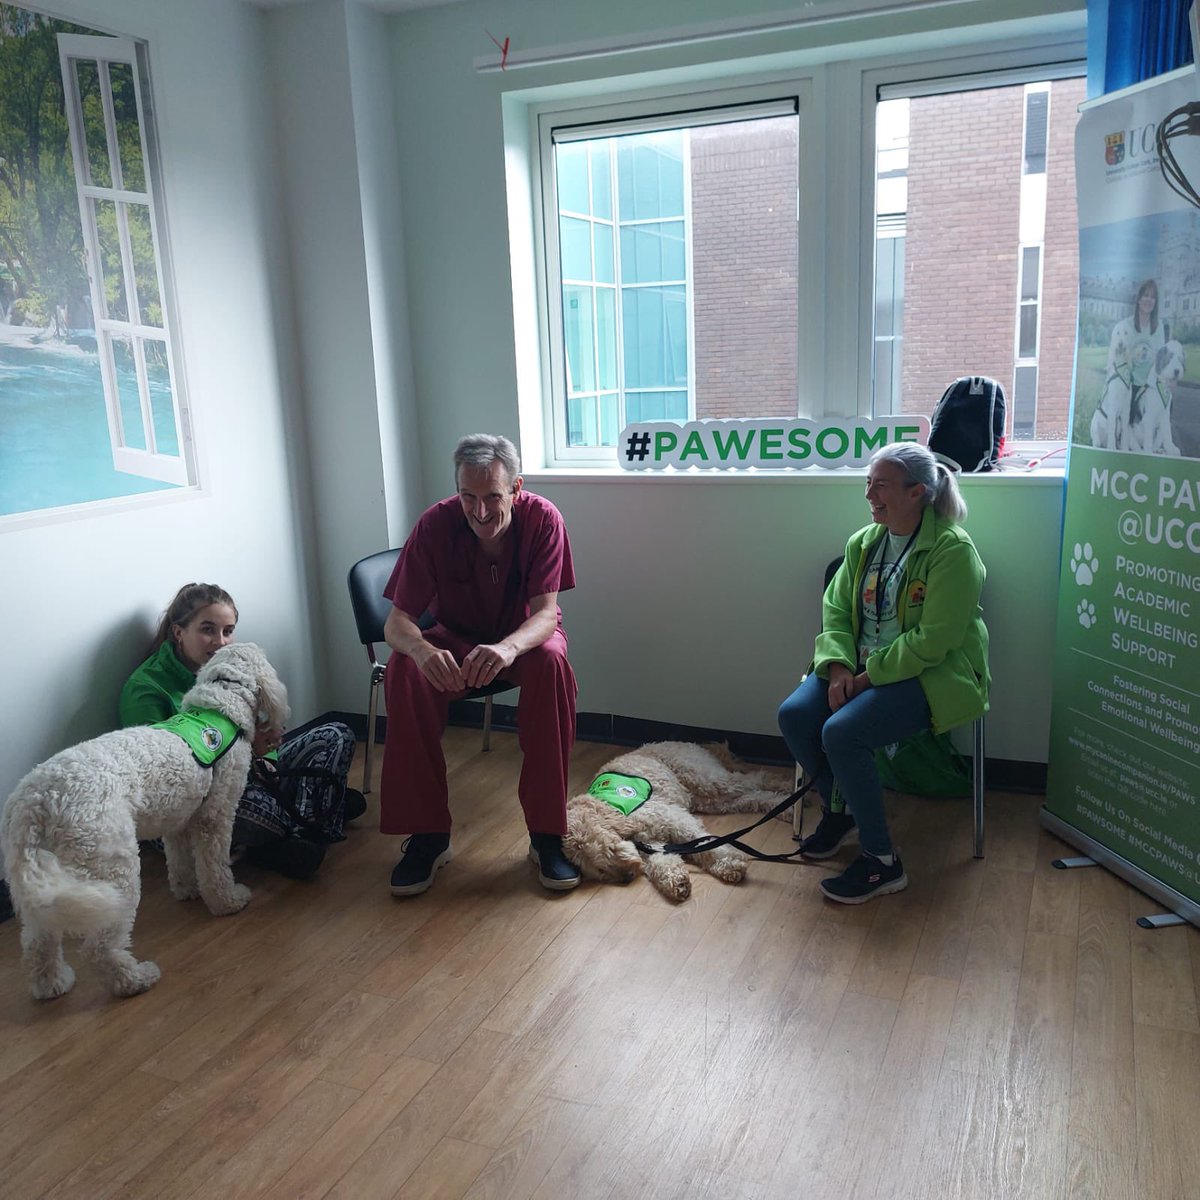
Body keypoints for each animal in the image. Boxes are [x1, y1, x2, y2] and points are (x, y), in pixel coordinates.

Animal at [1, 643, 288, 998]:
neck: (223, 698)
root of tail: (34, 800)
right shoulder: (215, 816)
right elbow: (215, 868)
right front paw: (227, 901)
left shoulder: (179, 820)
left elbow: (180, 861)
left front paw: (186, 889)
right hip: (112, 868)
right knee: (98, 947)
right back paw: (134, 980)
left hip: (45, 881)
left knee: (38, 940)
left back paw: (52, 984)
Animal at [559, 739, 787, 902]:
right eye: (599, 870)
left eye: (609, 850)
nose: (628, 877)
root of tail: (689, 743)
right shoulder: (652, 843)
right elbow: (663, 862)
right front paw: (676, 882)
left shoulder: (675, 820)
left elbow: (705, 843)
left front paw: (729, 863)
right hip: (712, 800)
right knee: (752, 798)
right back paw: (784, 808)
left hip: (708, 780)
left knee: (756, 778)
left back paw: (786, 786)